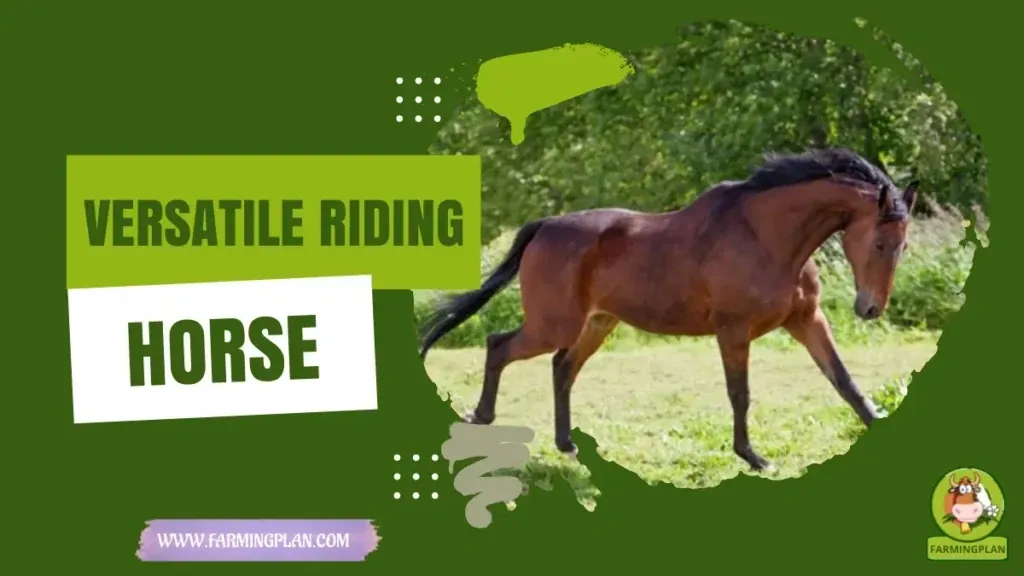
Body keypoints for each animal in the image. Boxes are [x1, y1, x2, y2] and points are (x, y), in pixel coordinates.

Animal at [418, 148, 919, 472]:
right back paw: (482, 418)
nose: (870, 308)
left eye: (904, 245)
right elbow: (740, 393)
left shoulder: (806, 320)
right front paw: (753, 458)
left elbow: (844, 381)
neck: (767, 237)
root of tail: (545, 226)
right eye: (879, 242)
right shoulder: (733, 330)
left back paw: (567, 445)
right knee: (499, 346)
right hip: (553, 324)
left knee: (562, 367)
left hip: (596, 324)